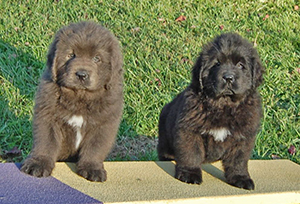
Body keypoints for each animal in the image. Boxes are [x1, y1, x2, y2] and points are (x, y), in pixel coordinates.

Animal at [21, 21, 123, 182]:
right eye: (71, 55)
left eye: (97, 58)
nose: (81, 74)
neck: (80, 97)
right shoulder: (48, 117)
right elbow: (45, 142)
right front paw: (38, 164)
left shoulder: (104, 123)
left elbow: (95, 148)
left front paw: (92, 168)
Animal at [158, 32, 264, 190]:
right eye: (217, 64)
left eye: (240, 65)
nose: (228, 77)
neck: (224, 105)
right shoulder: (189, 130)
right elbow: (191, 154)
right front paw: (190, 174)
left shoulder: (243, 136)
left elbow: (238, 160)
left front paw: (241, 178)